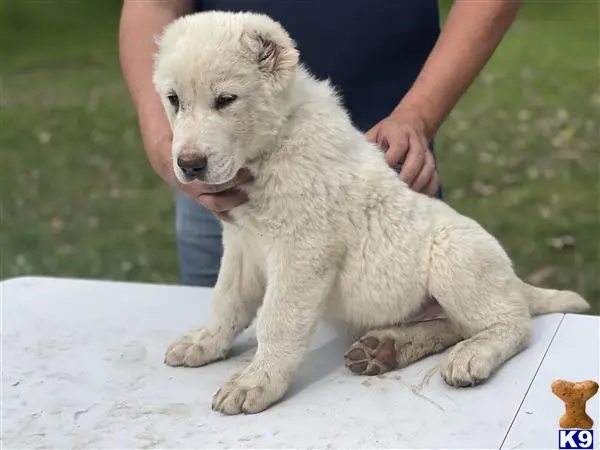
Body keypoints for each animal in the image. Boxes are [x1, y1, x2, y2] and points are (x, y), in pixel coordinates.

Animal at [152, 10, 588, 414]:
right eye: (174, 100)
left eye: (226, 100)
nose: (189, 165)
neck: (275, 143)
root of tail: (513, 280)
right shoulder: (242, 243)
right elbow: (227, 300)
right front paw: (206, 342)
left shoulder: (301, 250)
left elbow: (277, 319)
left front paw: (257, 381)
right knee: (452, 325)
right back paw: (387, 348)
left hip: (456, 255)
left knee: (513, 323)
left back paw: (471, 354)